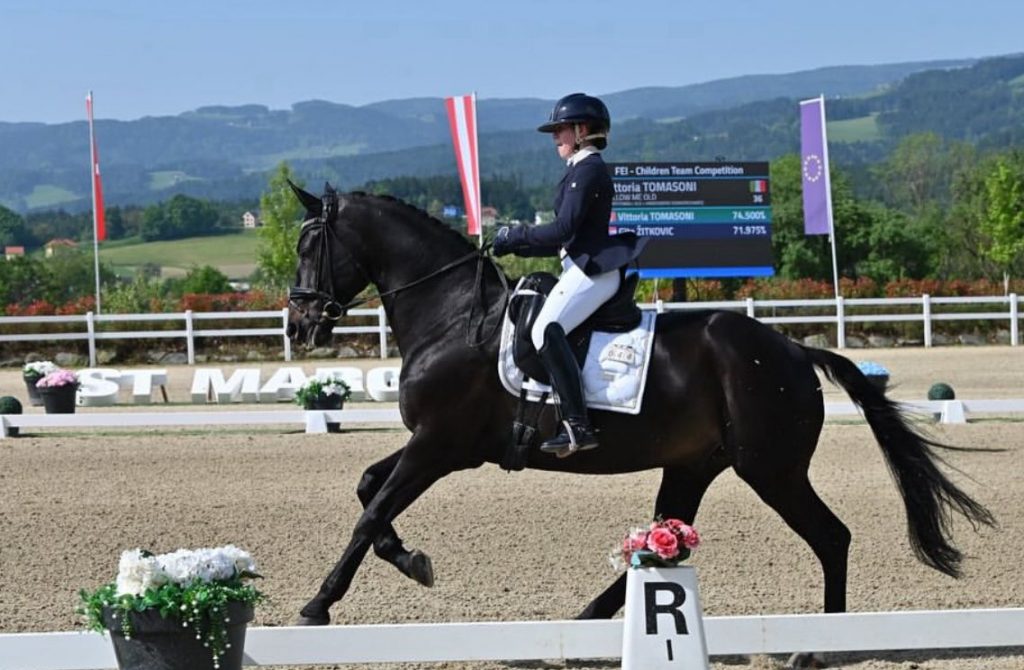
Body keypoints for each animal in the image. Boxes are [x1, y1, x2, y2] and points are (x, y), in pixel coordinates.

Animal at [284, 184, 994, 658]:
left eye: (309, 244)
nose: (298, 325)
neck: (455, 314)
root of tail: (793, 350)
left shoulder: (439, 445)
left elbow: (370, 511)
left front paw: (318, 606)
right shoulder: (434, 444)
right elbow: (368, 491)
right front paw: (411, 561)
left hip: (771, 469)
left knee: (831, 538)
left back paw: (815, 648)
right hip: (694, 465)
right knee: (661, 544)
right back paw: (583, 623)